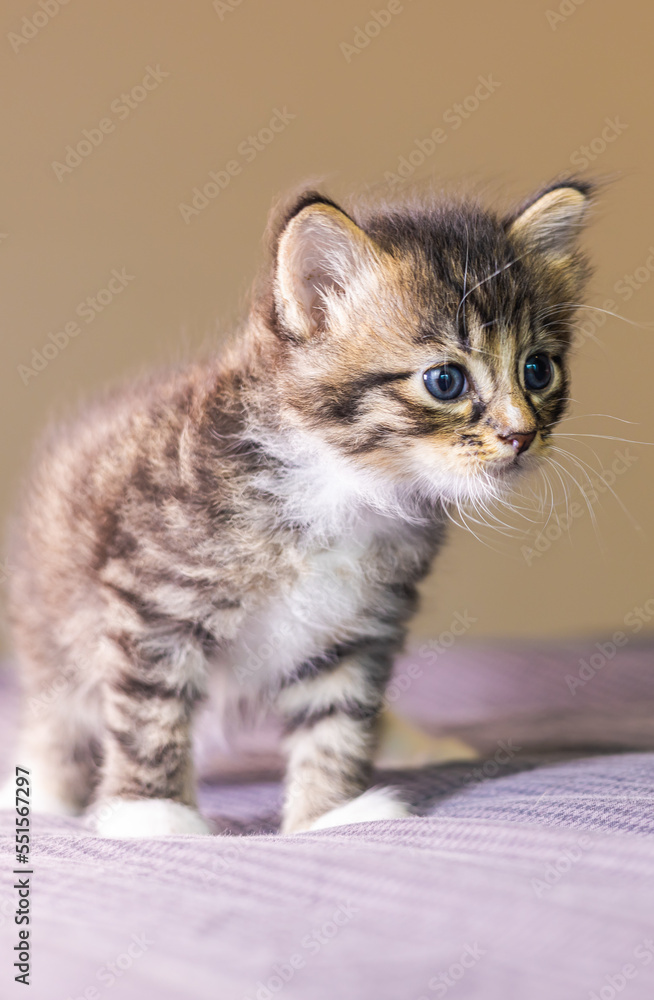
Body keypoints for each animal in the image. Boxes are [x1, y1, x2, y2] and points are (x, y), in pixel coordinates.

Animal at [1, 178, 596, 836]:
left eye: (537, 370)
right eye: (445, 381)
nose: (521, 435)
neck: (347, 486)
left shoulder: (354, 627)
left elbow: (337, 721)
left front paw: (328, 815)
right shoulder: (156, 598)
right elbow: (151, 717)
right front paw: (149, 815)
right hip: (52, 621)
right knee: (60, 710)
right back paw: (44, 787)